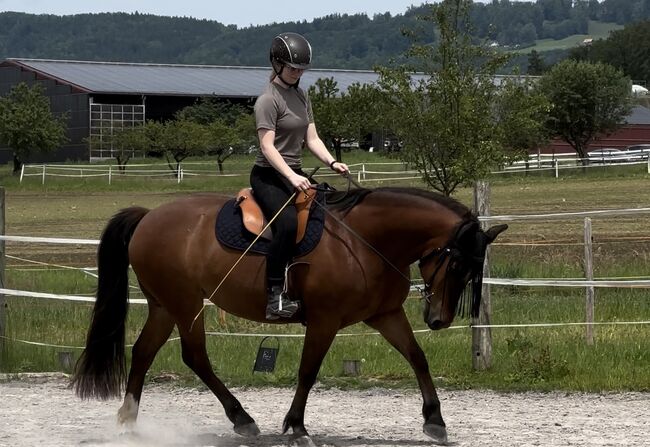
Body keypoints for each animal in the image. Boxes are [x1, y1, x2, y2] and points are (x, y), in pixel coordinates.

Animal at [72, 186, 506, 447]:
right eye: (456, 264)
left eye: (472, 270)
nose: (439, 319)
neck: (362, 241)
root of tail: (148, 216)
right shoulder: (325, 321)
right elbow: (308, 372)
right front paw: (296, 427)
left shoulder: (385, 314)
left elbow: (417, 358)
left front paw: (435, 420)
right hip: (185, 304)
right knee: (193, 356)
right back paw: (241, 418)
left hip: (165, 306)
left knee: (145, 352)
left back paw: (130, 420)